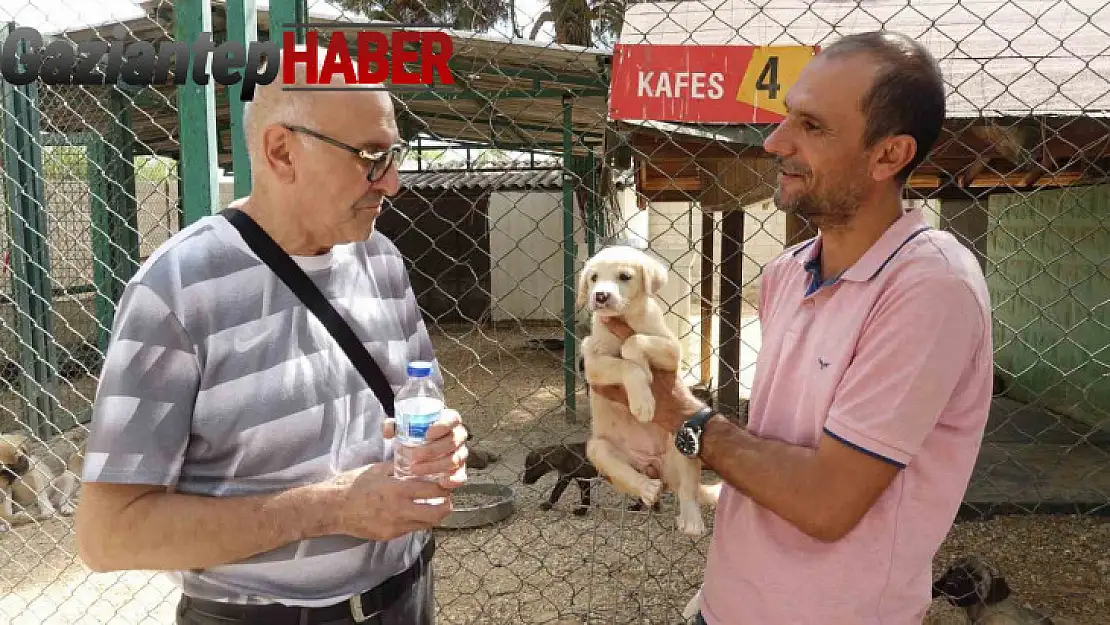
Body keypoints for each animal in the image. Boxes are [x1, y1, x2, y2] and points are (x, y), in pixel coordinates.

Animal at [577, 245, 714, 537]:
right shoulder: (592, 363)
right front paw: (643, 401)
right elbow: (626, 365)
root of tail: (653, 467)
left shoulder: (672, 350)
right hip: (597, 448)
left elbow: (633, 340)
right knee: (629, 475)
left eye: (625, 276)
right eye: (593, 278)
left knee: (688, 490)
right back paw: (648, 488)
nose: (600, 296)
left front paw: (640, 365)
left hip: (682, 442)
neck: (625, 317)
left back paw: (691, 521)